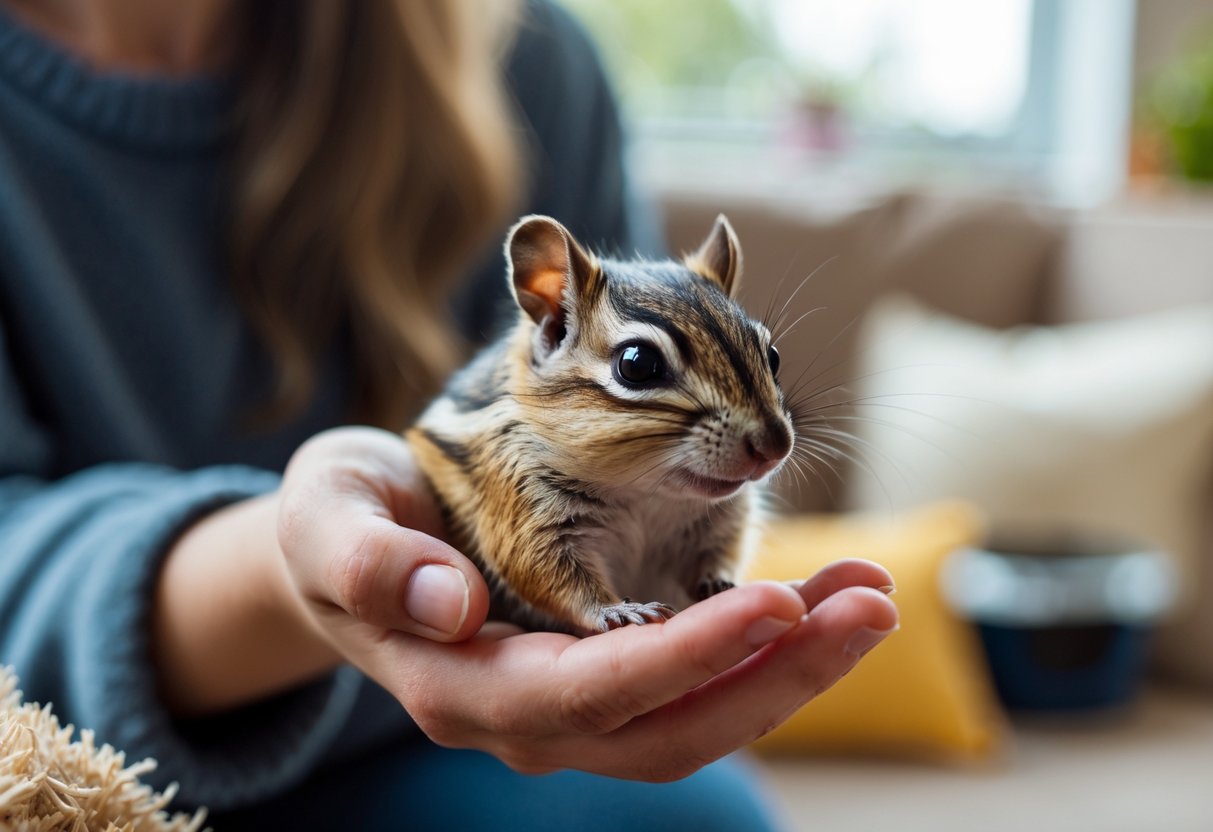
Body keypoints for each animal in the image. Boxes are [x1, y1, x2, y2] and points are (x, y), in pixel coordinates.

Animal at [407, 214, 794, 636]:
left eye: (773, 356)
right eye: (637, 363)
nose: (775, 445)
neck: (647, 495)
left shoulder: (722, 523)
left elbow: (717, 555)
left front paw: (718, 582)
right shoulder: (518, 501)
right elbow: (545, 573)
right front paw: (615, 610)